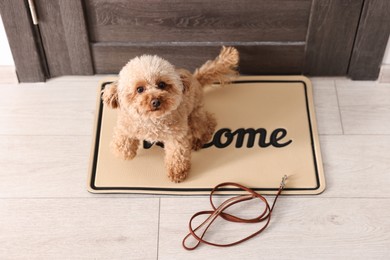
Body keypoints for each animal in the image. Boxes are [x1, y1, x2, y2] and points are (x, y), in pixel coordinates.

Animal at [102, 45, 239, 182]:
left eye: (161, 84)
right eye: (139, 89)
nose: (155, 101)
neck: (152, 120)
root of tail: (195, 79)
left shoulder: (176, 136)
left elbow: (177, 156)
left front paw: (177, 172)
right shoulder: (126, 124)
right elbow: (121, 144)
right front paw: (126, 152)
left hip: (195, 113)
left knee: (207, 122)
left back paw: (198, 139)